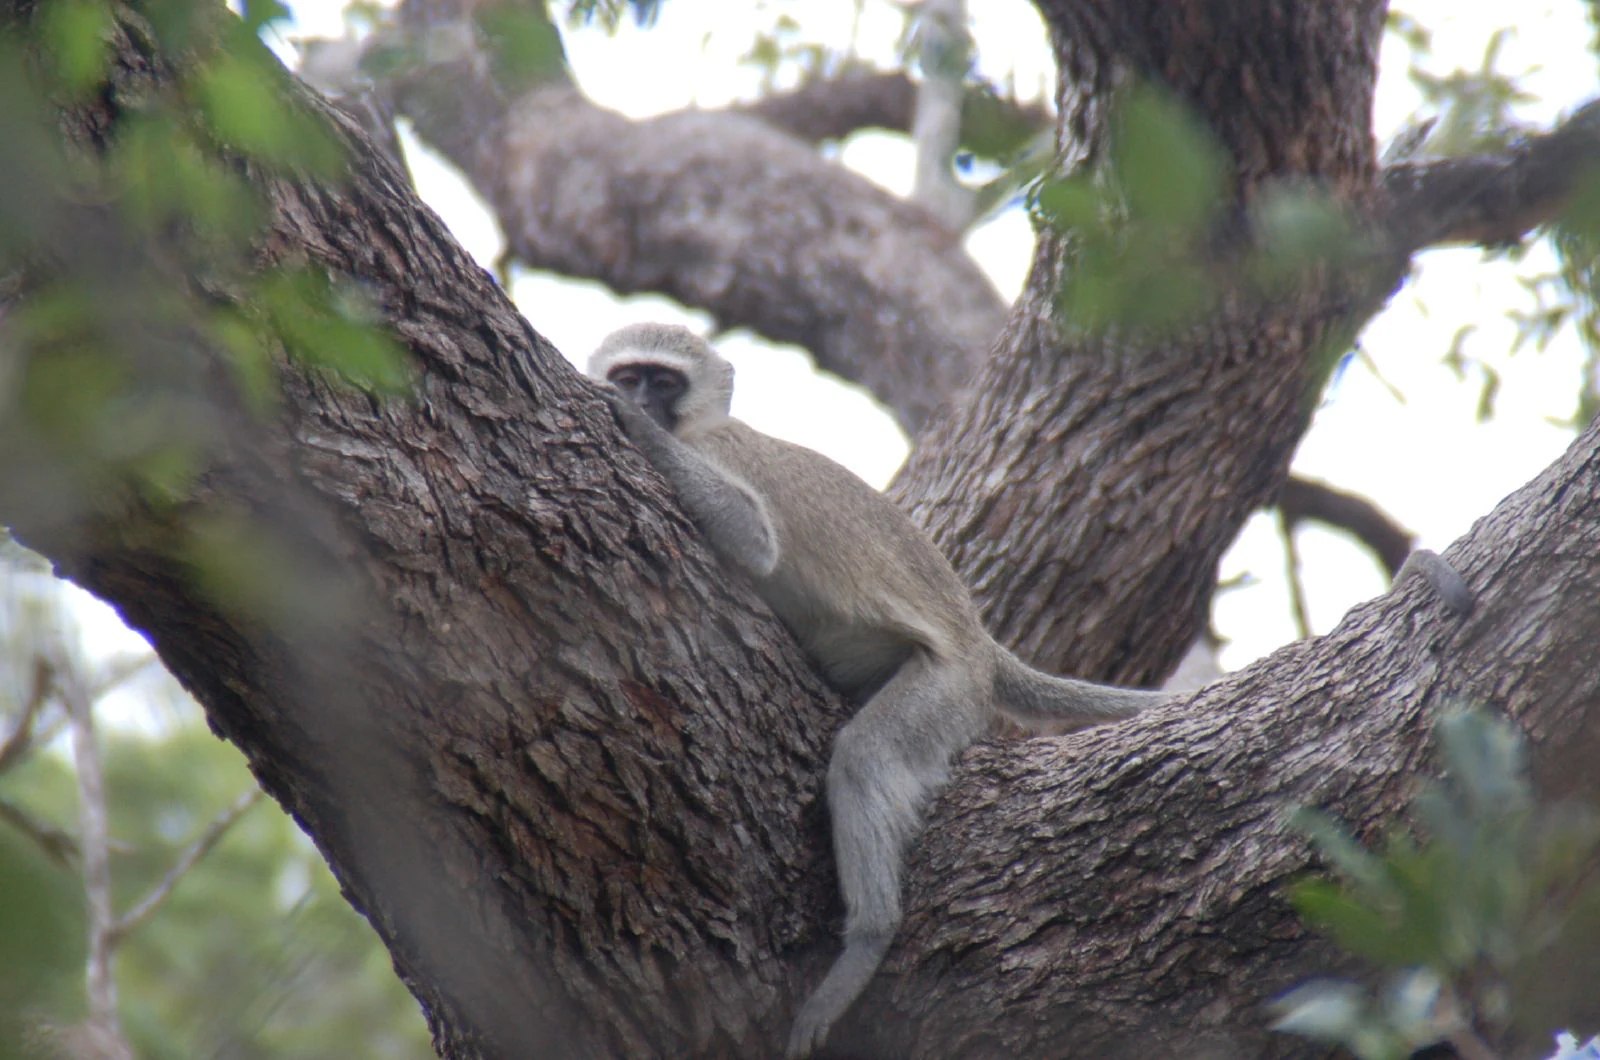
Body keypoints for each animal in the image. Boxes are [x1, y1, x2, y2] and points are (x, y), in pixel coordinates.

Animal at [588, 323, 1177, 1057]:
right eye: (629, 372)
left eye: (662, 381)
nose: (637, 396)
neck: (701, 426)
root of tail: (979, 644)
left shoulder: (721, 453)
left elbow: (754, 541)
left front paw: (637, 426)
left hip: (946, 687)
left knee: (866, 758)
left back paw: (867, 940)